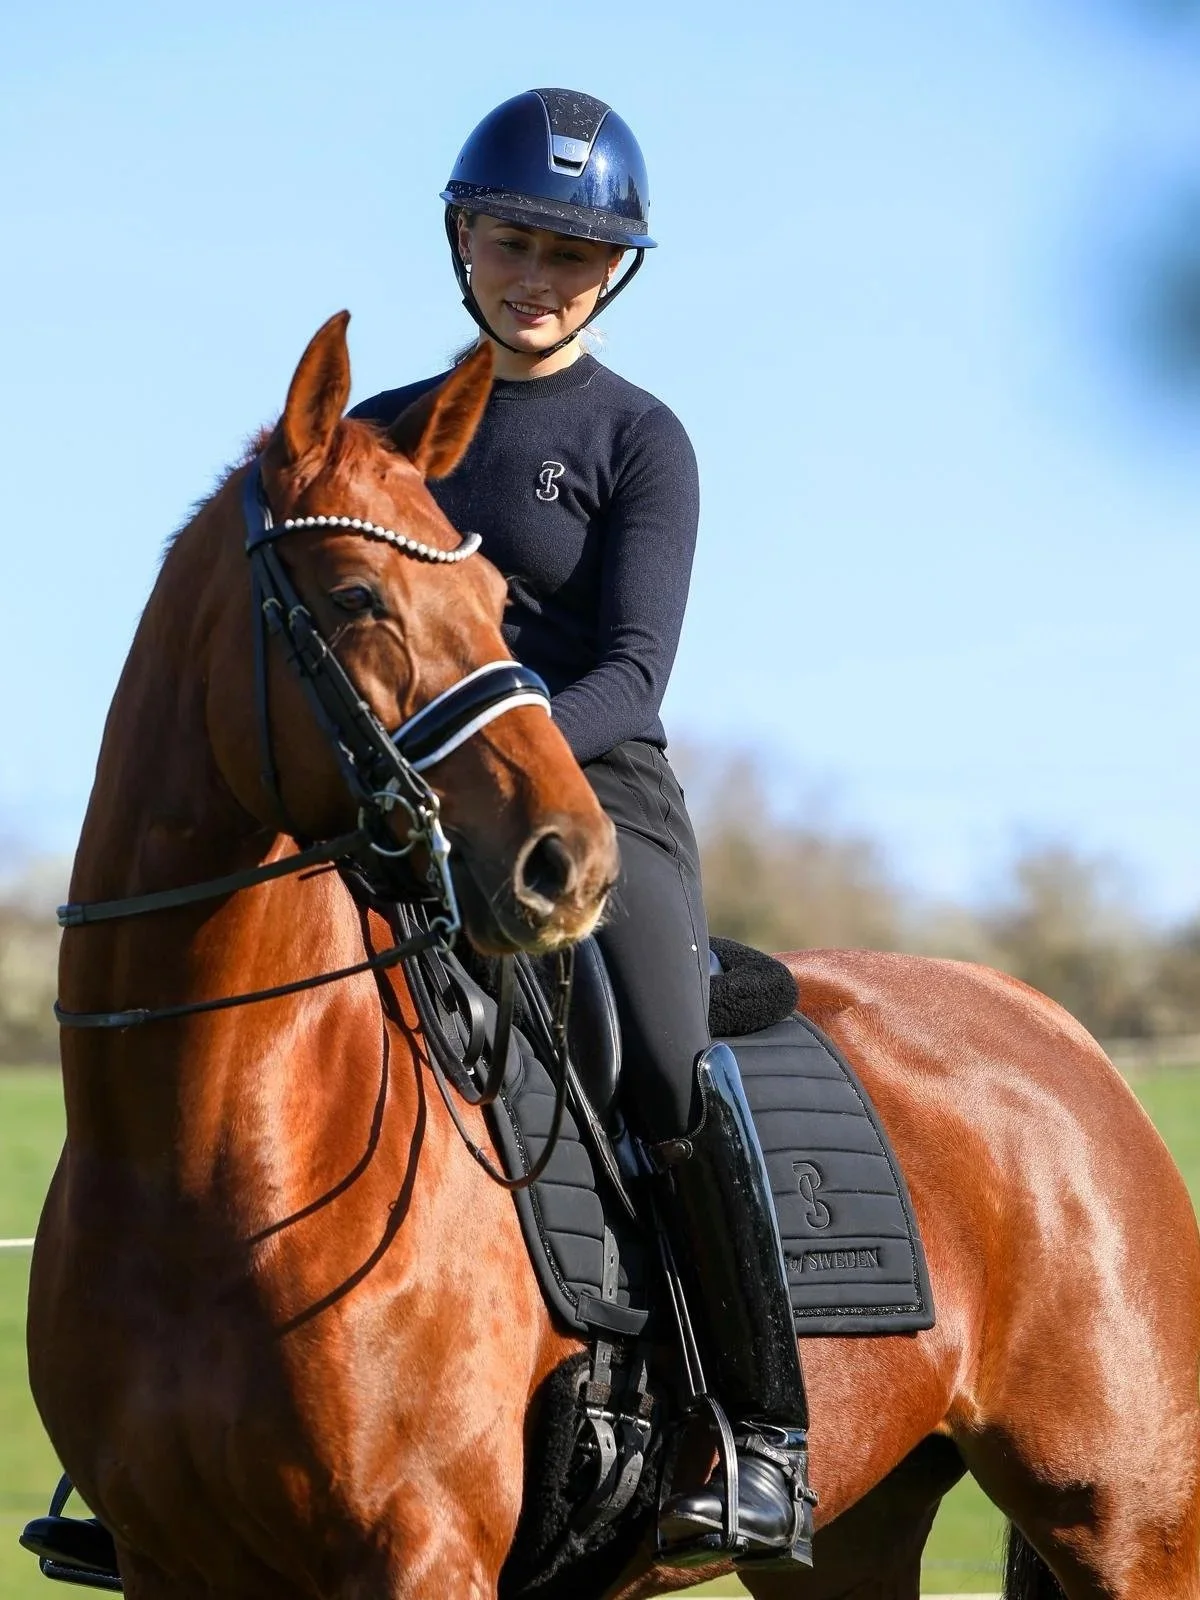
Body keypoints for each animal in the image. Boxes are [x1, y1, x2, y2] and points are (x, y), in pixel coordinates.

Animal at [26, 312, 1200, 1600]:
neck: (206, 1151)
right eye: (355, 593)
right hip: (857, 1533)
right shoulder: (168, 1559)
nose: (569, 864)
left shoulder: (420, 1552)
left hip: (1129, 1526)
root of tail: (1057, 1034)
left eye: (498, 596)